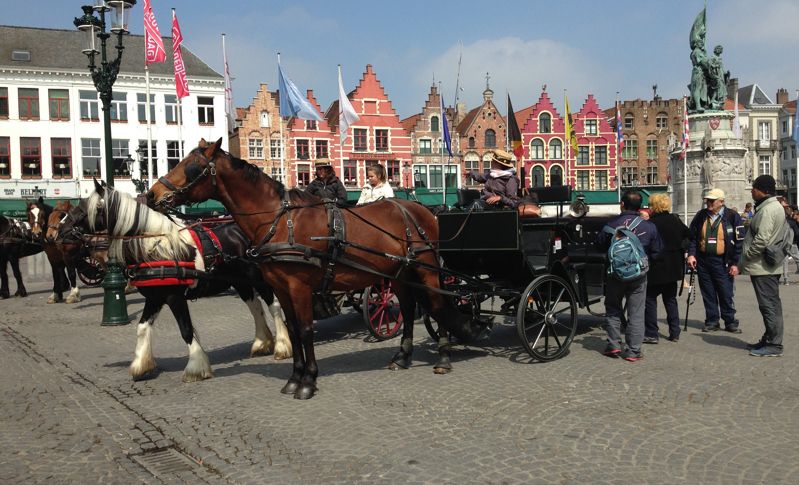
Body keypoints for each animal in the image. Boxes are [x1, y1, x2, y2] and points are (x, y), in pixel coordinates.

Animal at [57, 182, 292, 382]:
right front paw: (141, 366)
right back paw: (262, 342)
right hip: (240, 282)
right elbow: (142, 327)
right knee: (255, 307)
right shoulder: (155, 296)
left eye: (84, 208)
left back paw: (282, 346)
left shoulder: (174, 296)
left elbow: (186, 330)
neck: (156, 245)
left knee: (273, 306)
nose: (59, 231)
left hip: (260, 279)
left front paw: (196, 367)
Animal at [148, 138, 488, 398]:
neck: (278, 221)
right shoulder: (280, 288)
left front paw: (308, 381)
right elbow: (292, 330)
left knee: (437, 304)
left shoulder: (299, 287)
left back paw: (443, 356)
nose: (151, 194)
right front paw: (294, 378)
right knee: (408, 308)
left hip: (426, 269)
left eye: (191, 167)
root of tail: (421, 210)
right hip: (400, 274)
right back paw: (402, 357)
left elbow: (305, 329)